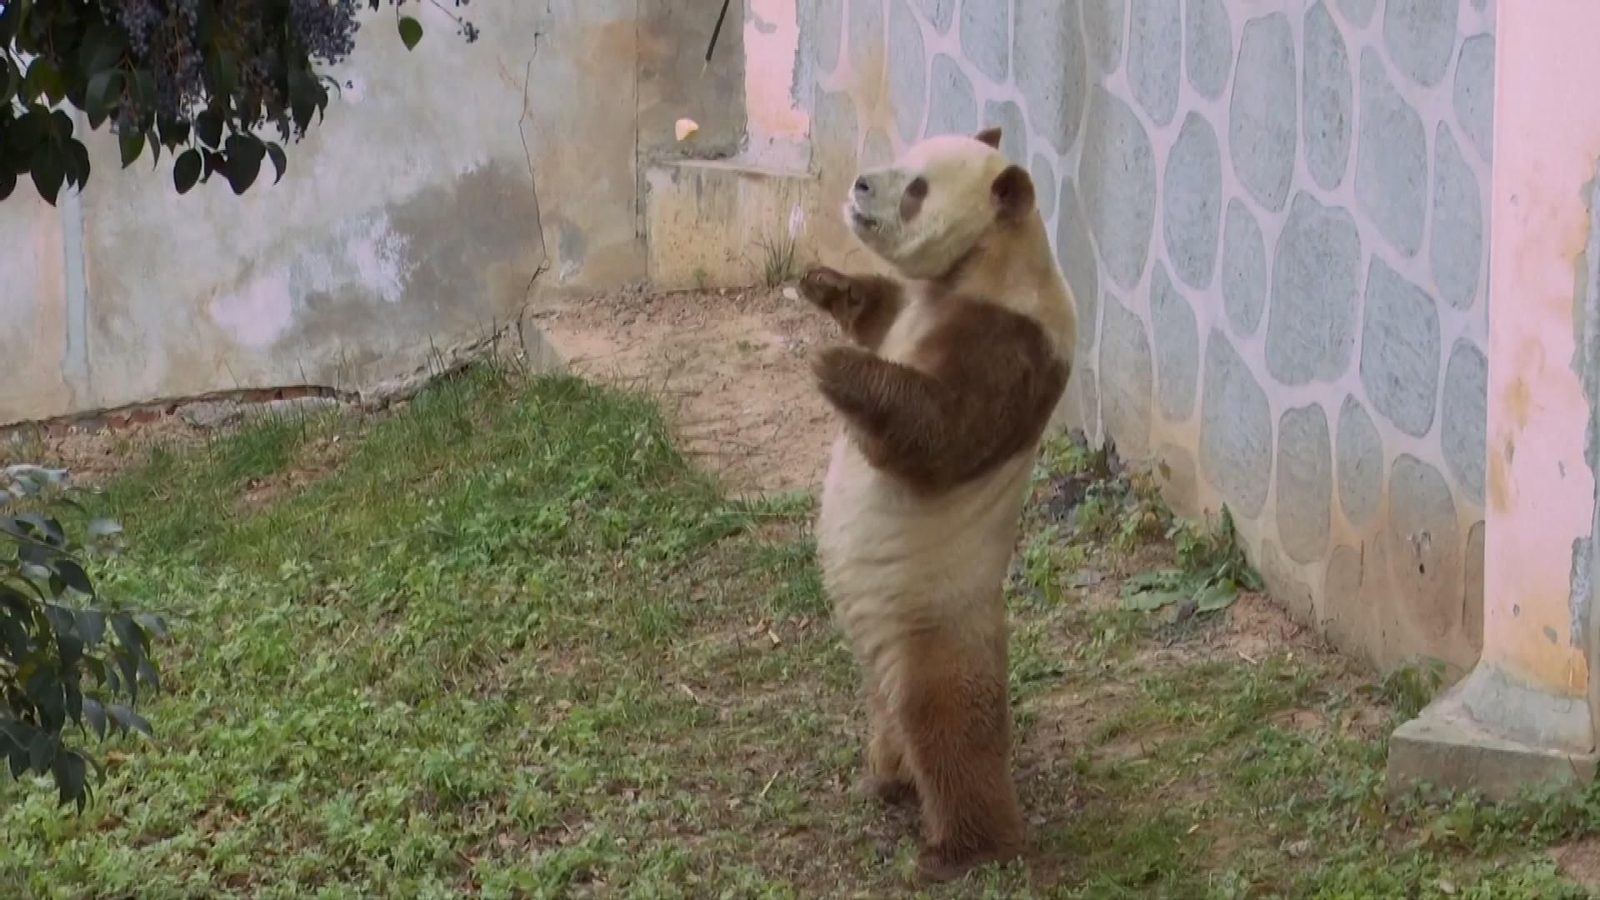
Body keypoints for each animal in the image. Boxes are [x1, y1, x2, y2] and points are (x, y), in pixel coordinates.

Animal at [798, 126, 1078, 884]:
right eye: (901, 154)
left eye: (917, 188)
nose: (861, 184)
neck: (988, 263)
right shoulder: (918, 305)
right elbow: (880, 309)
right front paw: (822, 283)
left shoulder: (1008, 340)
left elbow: (939, 431)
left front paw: (834, 368)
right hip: (880, 648)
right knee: (891, 714)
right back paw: (888, 778)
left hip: (933, 622)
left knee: (951, 730)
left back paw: (960, 850)